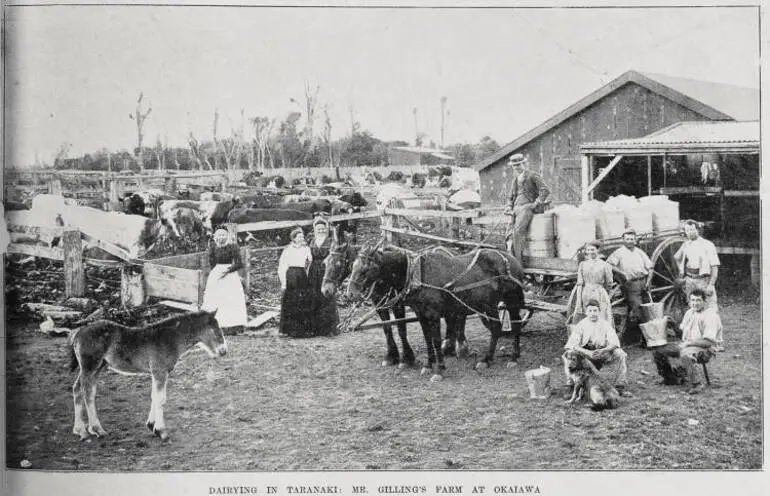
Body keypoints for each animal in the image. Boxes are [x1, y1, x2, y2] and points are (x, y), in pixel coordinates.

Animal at [67, 310, 225, 442]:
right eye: (215, 329)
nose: (224, 350)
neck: (169, 338)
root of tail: (79, 332)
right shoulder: (159, 371)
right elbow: (160, 399)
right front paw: (162, 431)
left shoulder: (157, 373)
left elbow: (154, 397)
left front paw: (151, 425)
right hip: (90, 367)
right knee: (87, 392)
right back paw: (97, 430)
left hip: (97, 368)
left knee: (78, 389)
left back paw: (80, 430)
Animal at [344, 242, 524, 378]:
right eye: (352, 266)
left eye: (365, 269)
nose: (350, 293)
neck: (418, 275)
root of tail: (511, 258)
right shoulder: (421, 314)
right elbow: (427, 338)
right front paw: (428, 364)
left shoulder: (433, 314)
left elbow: (436, 340)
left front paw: (439, 368)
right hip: (489, 304)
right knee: (496, 327)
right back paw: (488, 359)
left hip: (511, 302)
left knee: (513, 325)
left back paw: (512, 358)